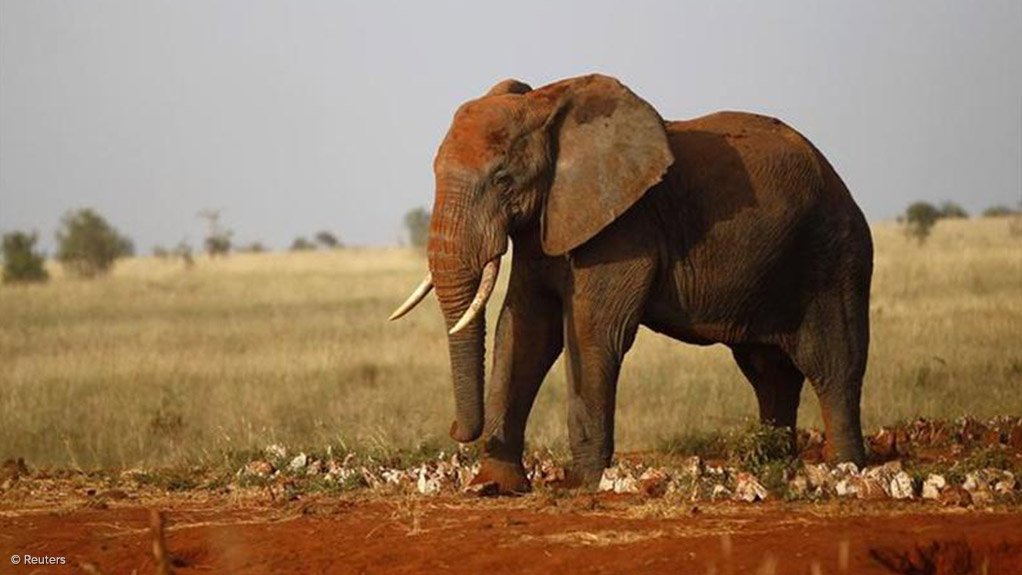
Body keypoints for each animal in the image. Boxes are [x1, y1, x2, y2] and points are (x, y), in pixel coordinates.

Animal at [388, 73, 870, 494]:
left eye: (503, 180)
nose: (455, 430)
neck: (547, 105)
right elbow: (524, 329)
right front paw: (495, 485)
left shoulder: (623, 226)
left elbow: (592, 331)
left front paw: (586, 485)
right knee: (769, 371)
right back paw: (773, 462)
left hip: (834, 255)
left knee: (832, 365)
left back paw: (844, 469)